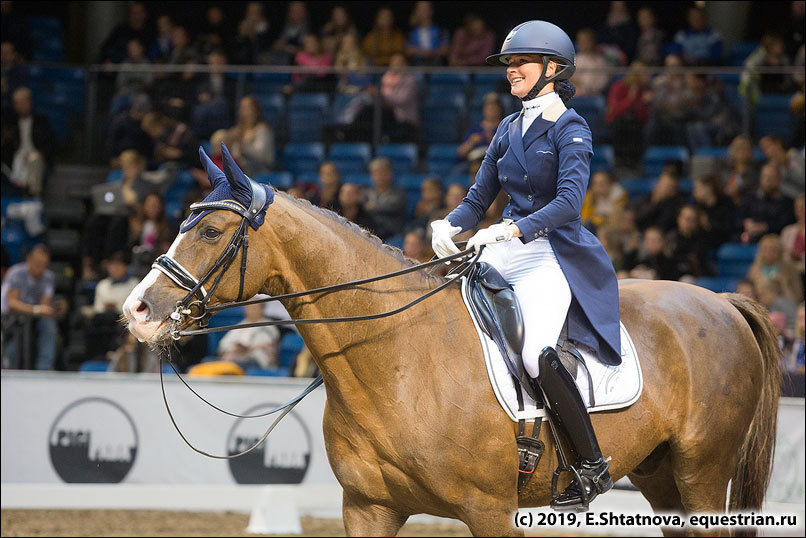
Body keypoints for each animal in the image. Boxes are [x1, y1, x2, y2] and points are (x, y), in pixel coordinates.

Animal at [123, 171, 780, 532]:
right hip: (660, 475)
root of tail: (721, 301)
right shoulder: (368, 508)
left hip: (703, 473)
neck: (395, 358)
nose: (137, 310)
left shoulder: (491, 511)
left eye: (211, 231)